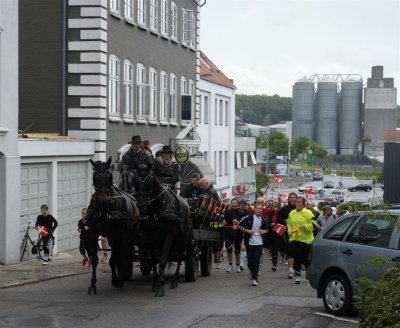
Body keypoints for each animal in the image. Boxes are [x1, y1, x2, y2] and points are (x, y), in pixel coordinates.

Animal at [86, 157, 139, 294]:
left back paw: (121, 278)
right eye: (95, 177)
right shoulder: (93, 233)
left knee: (123, 252)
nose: (103, 199)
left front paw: (115, 280)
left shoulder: (113, 235)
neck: (104, 210)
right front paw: (92, 285)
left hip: (125, 233)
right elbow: (94, 260)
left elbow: (113, 259)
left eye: (109, 176)